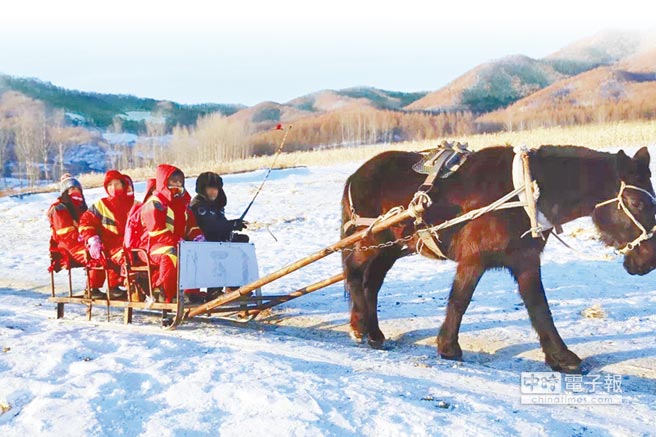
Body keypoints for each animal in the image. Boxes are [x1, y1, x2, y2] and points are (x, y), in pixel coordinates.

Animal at [344, 145, 656, 372]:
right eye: (636, 202)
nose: (649, 261)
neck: (524, 192)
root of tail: (356, 174)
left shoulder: (526, 261)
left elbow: (539, 307)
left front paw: (560, 356)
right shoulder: (473, 260)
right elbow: (459, 301)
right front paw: (448, 347)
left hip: (391, 248)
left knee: (372, 283)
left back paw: (373, 331)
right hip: (370, 242)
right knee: (354, 273)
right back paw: (361, 328)